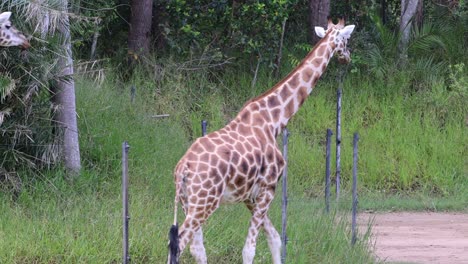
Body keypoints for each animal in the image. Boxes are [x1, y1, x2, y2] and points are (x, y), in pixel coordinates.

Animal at [168, 17, 354, 262]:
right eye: (346, 39)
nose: (347, 57)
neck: (274, 121)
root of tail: (183, 169)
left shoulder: (250, 196)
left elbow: (275, 239)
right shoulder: (268, 188)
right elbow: (250, 249)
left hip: (187, 201)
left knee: (195, 248)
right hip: (204, 201)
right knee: (180, 243)